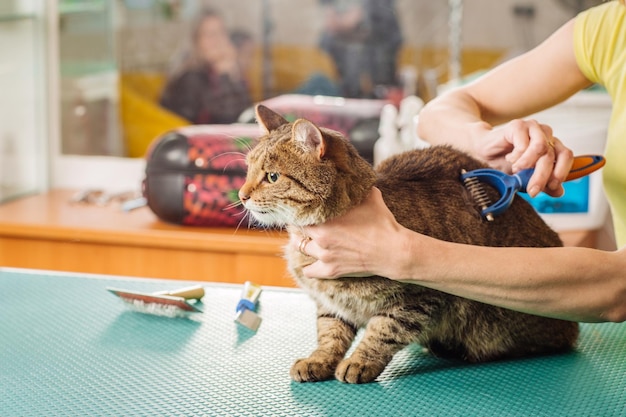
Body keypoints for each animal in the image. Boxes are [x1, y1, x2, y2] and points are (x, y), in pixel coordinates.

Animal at [238, 105, 576, 384]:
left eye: (272, 177)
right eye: (248, 170)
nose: (241, 195)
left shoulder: (420, 297)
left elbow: (383, 331)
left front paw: (360, 361)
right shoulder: (330, 304)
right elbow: (329, 333)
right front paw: (319, 360)